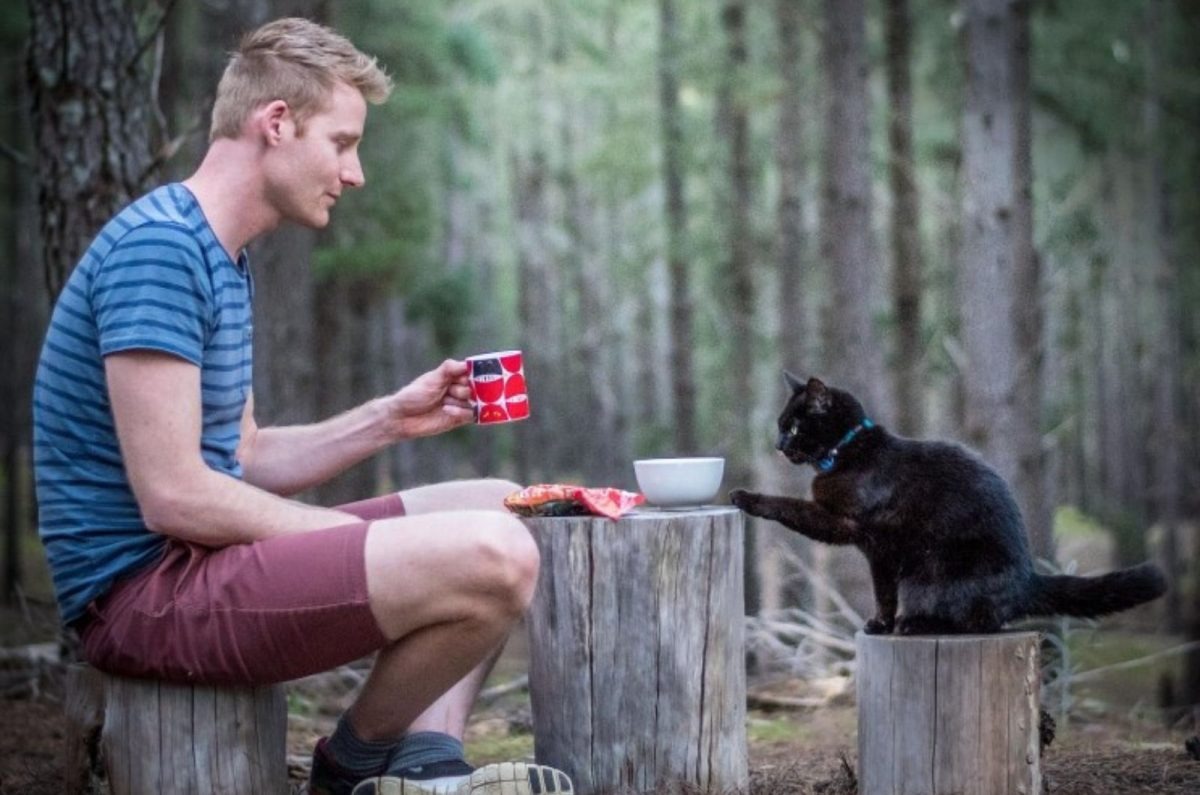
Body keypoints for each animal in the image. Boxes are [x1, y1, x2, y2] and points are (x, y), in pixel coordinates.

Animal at [724, 377, 1166, 638]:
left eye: (794, 426)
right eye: (781, 426)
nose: (778, 444)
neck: (847, 451)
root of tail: (1028, 580)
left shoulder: (854, 531)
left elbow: (790, 507)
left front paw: (745, 496)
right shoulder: (870, 547)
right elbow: (881, 590)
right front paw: (880, 624)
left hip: (934, 573)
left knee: (978, 621)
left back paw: (916, 624)